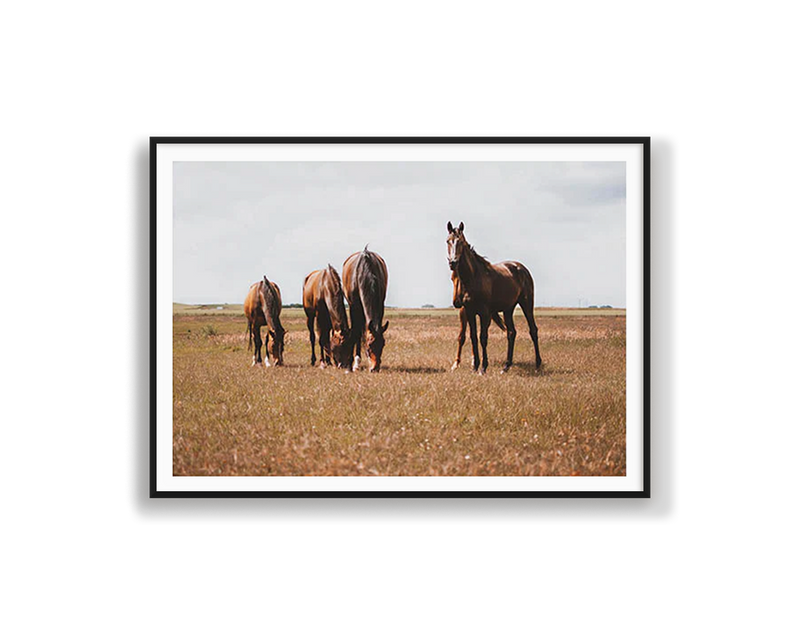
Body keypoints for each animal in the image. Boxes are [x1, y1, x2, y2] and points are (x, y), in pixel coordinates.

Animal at [446, 222, 540, 376]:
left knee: (533, 330)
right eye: (448, 241)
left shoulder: (485, 313)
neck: (474, 278)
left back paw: (538, 364)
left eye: (461, 242)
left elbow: (483, 338)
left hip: (527, 304)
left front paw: (483, 368)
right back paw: (506, 366)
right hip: (508, 309)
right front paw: (475, 366)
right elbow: (473, 337)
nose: (453, 262)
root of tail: (521, 268)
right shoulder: (470, 312)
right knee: (511, 332)